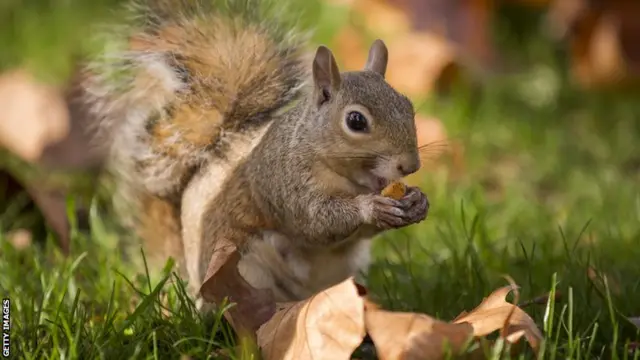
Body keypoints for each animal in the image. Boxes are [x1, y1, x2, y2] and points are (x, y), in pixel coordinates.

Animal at [77, 0, 430, 306]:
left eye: (408, 106)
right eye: (356, 121)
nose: (410, 165)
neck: (349, 176)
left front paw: (417, 201)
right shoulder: (283, 180)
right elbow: (315, 220)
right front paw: (370, 207)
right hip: (244, 270)